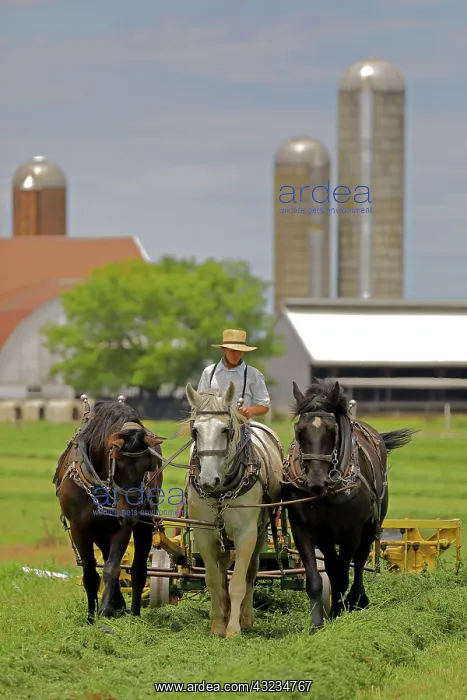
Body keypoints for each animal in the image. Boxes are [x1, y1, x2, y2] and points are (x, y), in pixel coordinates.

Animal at [53, 400, 163, 622]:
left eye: (147, 467)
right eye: (118, 465)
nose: (129, 515)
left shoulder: (121, 526)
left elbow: (113, 568)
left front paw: (105, 609)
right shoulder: (80, 528)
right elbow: (90, 573)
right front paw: (91, 616)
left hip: (143, 524)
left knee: (138, 569)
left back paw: (133, 613)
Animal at [185, 380, 284, 638]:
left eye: (225, 430)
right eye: (195, 430)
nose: (208, 481)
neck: (221, 492)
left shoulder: (246, 533)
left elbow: (238, 580)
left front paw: (233, 629)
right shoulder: (203, 533)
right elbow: (212, 580)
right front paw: (218, 625)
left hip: (261, 530)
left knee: (251, 572)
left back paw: (245, 617)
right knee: (221, 572)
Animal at [284, 378, 415, 632]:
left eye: (333, 430)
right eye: (299, 430)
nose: (316, 480)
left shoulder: (351, 531)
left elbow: (345, 572)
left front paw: (340, 610)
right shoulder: (303, 528)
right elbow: (317, 578)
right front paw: (317, 624)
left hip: (371, 524)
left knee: (360, 559)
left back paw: (357, 599)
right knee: (332, 565)